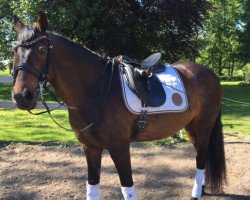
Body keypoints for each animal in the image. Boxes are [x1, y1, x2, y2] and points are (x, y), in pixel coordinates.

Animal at [11, 11, 227, 199]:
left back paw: (196, 193)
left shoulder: (119, 147)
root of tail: (210, 74)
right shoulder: (90, 147)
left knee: (201, 158)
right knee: (203, 156)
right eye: (15, 51)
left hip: (204, 125)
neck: (96, 90)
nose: (22, 96)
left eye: (41, 50)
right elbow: (92, 186)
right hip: (191, 127)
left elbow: (128, 188)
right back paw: (202, 188)